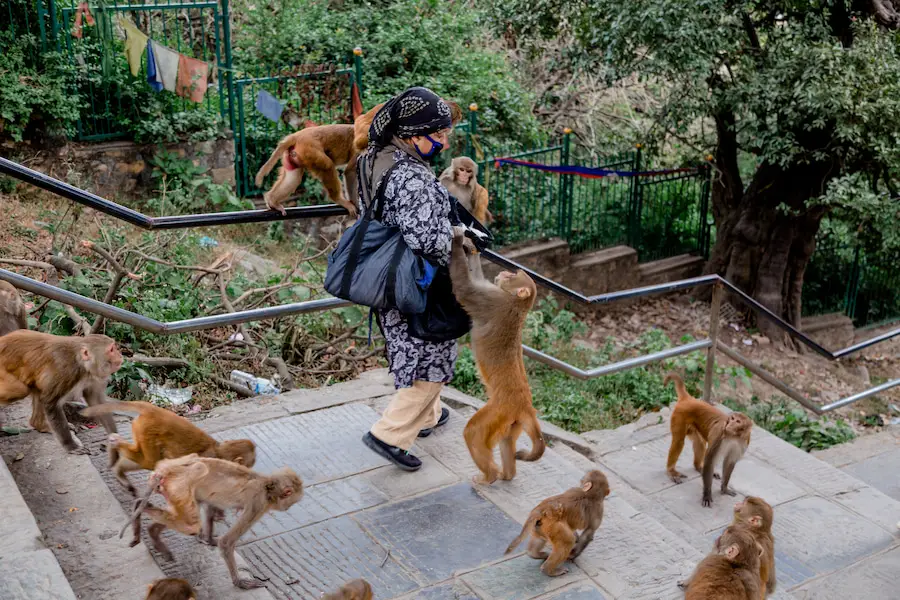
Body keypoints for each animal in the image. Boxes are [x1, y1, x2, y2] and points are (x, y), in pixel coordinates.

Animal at [125, 454, 304, 592]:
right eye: (292, 501)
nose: (287, 508)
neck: (267, 486)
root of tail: (165, 470)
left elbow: (210, 505)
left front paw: (209, 539)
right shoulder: (258, 503)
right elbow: (226, 542)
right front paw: (239, 582)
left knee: (189, 512)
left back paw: (150, 526)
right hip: (178, 484)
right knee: (190, 522)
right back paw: (141, 510)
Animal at [448, 232, 544, 486]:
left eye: (513, 275)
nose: (503, 273)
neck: (518, 304)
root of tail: (526, 407)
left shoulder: (492, 301)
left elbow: (464, 288)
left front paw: (458, 239)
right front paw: (471, 246)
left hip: (498, 411)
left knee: (473, 433)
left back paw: (488, 476)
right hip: (511, 422)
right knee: (506, 441)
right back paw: (506, 474)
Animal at [660, 376, 752, 506]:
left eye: (738, 421)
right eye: (732, 418)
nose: (730, 423)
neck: (734, 436)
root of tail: (689, 399)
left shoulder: (744, 442)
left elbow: (729, 461)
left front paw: (724, 488)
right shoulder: (719, 435)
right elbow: (710, 460)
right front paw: (707, 495)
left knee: (700, 443)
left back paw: (699, 467)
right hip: (679, 416)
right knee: (679, 442)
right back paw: (671, 471)